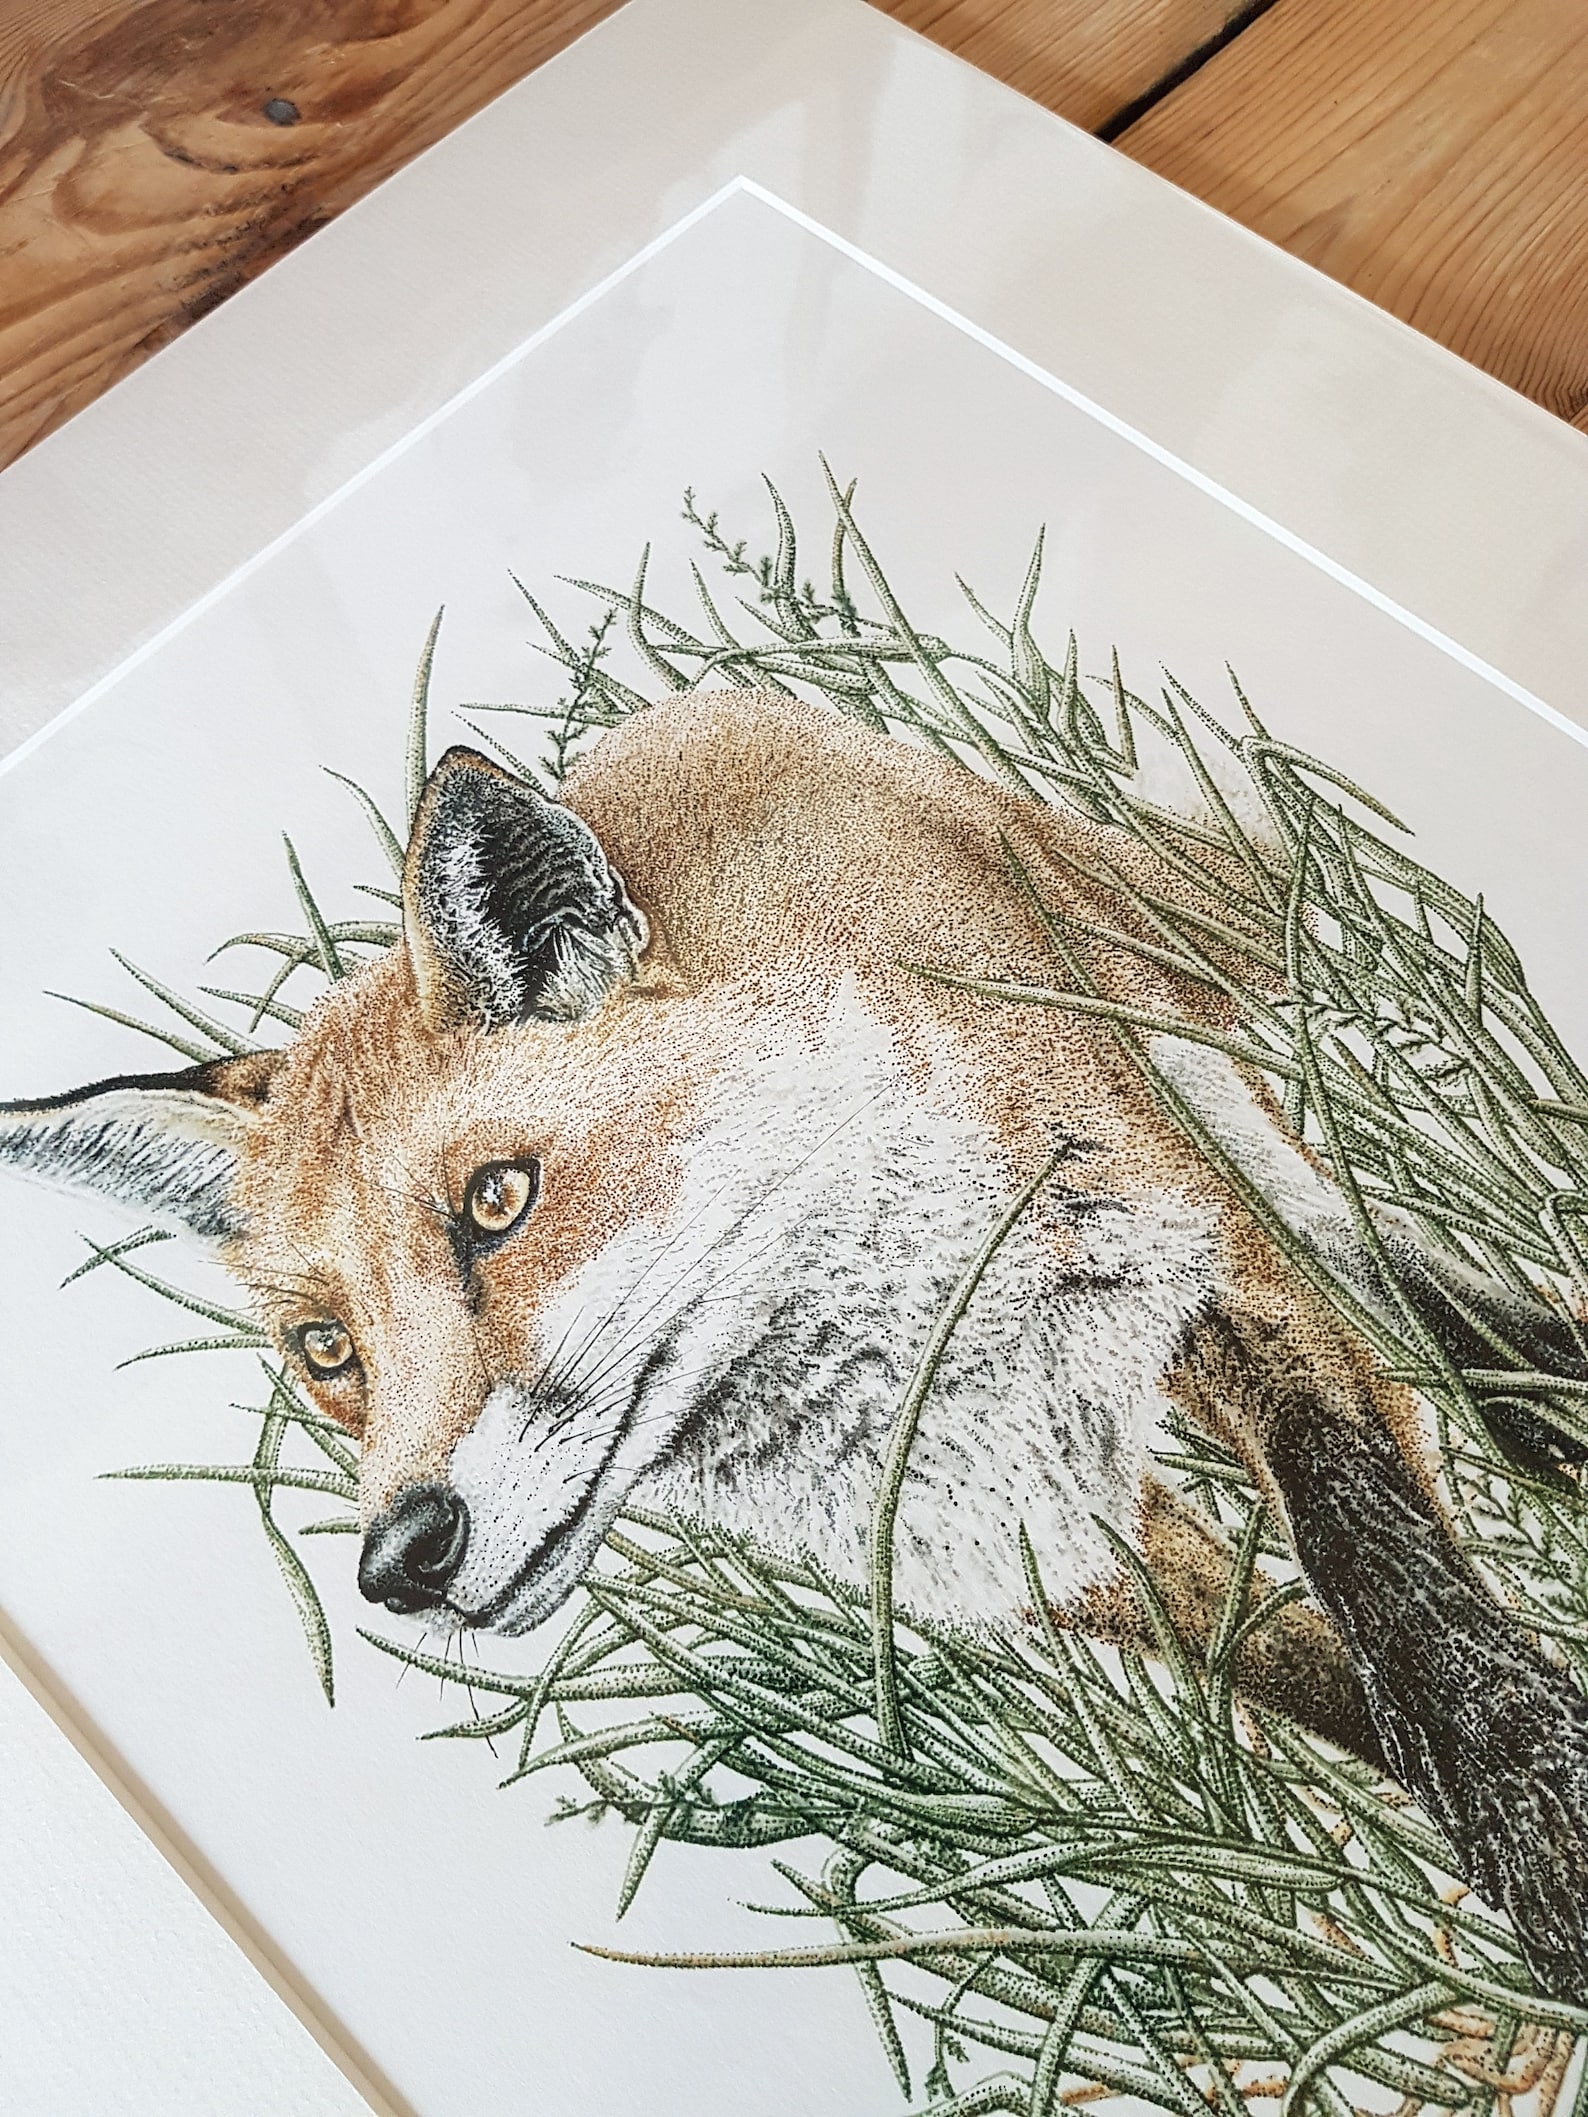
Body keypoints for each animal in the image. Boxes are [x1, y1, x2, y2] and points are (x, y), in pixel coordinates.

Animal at [4, 687, 1588, 1996]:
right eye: (328, 1348)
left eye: (497, 1200)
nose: (401, 1560)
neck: (923, 1348)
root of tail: (693, 716)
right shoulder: (1032, 1532)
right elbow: (1326, 1685)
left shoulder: (1197, 1266)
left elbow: (1378, 1563)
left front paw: (1536, 1808)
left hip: (1175, 1066)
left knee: (1372, 1258)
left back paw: (1544, 1393)